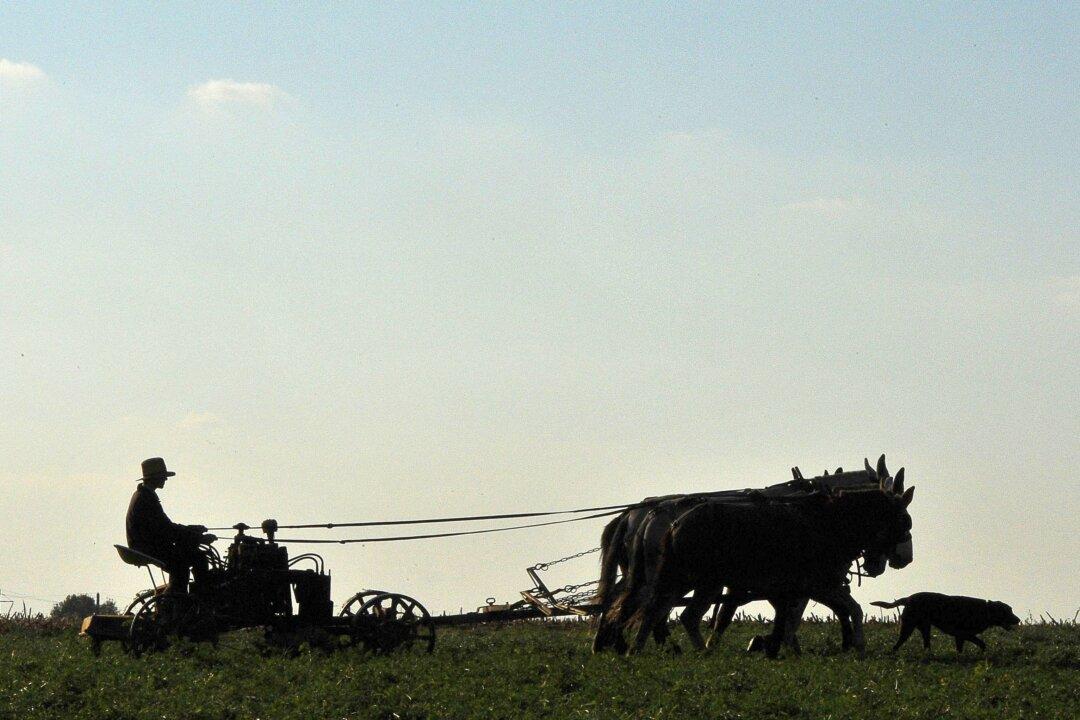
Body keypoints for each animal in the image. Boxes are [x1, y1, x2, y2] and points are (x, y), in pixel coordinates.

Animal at [868, 591, 1019, 651]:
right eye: (1008, 611)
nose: (1018, 620)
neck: (986, 611)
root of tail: (908, 598)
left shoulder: (961, 636)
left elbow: (975, 646)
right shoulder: (962, 634)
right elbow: (981, 644)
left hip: (924, 628)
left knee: (926, 645)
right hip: (909, 627)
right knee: (897, 645)